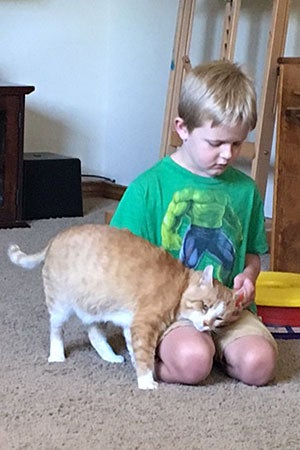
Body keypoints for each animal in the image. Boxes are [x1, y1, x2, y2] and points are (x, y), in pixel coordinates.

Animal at [8, 225, 245, 390]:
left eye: (219, 318)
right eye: (204, 307)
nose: (206, 324)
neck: (179, 286)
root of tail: (53, 240)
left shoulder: (133, 326)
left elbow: (135, 351)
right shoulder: (144, 324)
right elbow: (144, 355)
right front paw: (146, 381)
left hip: (95, 308)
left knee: (94, 334)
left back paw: (110, 357)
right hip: (61, 306)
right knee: (56, 331)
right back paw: (57, 356)